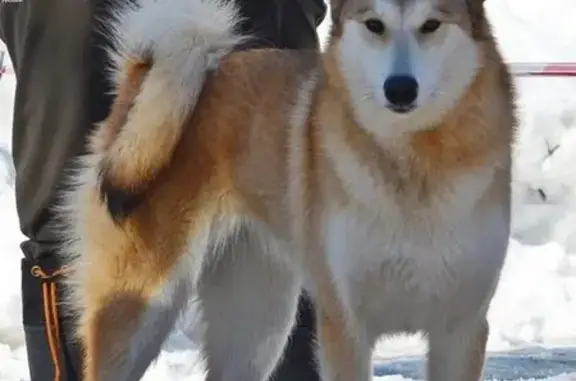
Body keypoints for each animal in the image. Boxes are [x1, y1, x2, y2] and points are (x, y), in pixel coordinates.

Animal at [56, 0, 516, 378]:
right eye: (375, 25)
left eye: (431, 25)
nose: (400, 87)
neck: (411, 167)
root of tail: (142, 78)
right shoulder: (344, 327)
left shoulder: (461, 329)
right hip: (140, 306)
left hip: (258, 323)